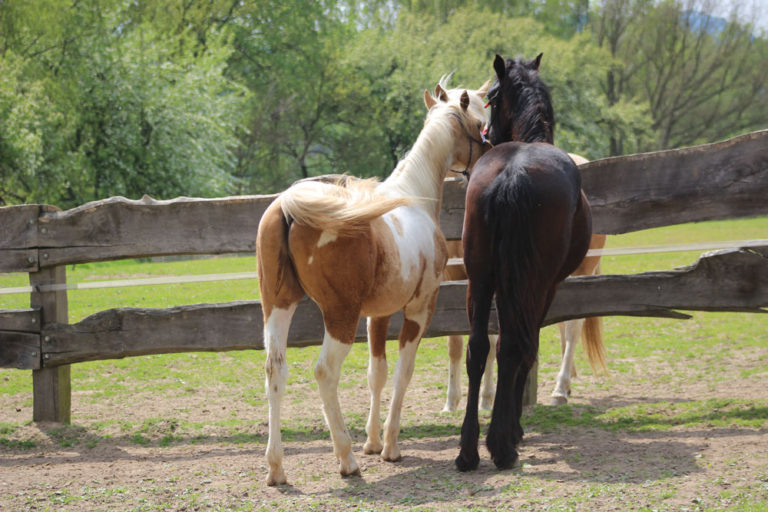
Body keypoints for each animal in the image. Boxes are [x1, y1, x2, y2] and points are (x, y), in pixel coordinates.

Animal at [257, 80, 491, 485]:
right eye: (478, 123)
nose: (489, 155)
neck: (414, 196)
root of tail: (289, 206)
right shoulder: (418, 310)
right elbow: (402, 374)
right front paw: (390, 447)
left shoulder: (376, 316)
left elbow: (376, 374)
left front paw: (372, 440)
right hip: (339, 317)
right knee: (325, 372)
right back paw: (346, 459)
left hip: (278, 308)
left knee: (276, 370)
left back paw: (277, 468)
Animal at [455, 53, 593, 471]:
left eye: (490, 98)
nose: (487, 135)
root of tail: (514, 172)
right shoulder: (548, 286)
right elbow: (527, 347)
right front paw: (514, 427)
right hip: (533, 281)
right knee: (515, 345)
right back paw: (502, 445)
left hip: (481, 278)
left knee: (479, 348)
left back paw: (468, 451)